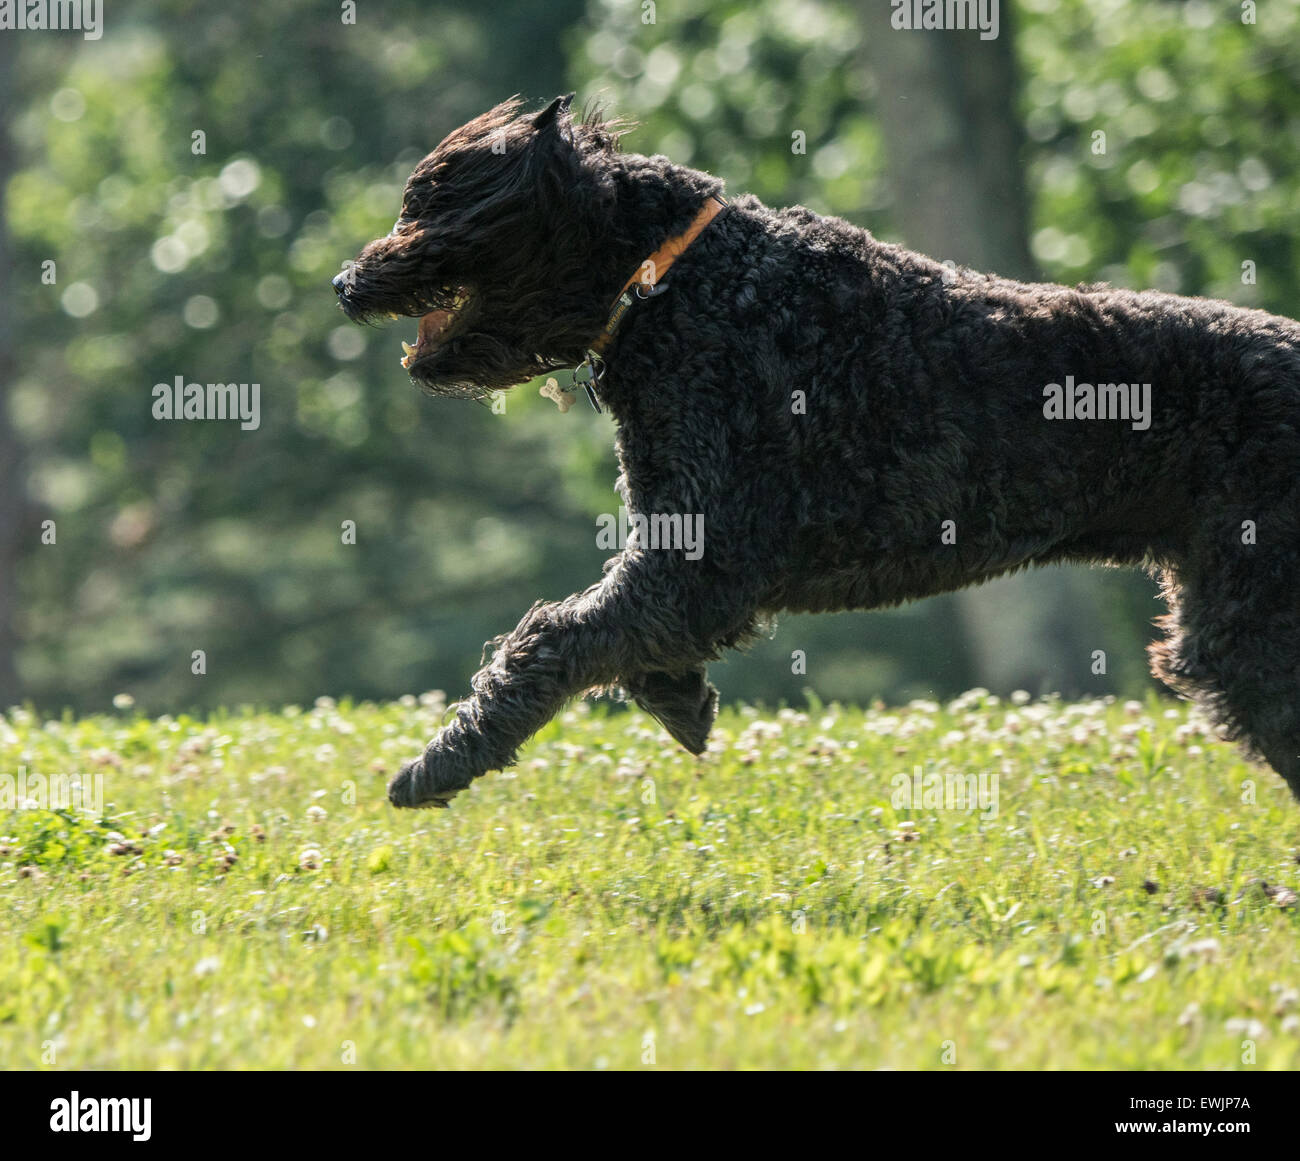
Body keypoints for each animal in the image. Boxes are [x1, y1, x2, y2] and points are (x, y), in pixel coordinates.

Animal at [335, 97, 1300, 806]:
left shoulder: (700, 555)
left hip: (1244, 626)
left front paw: (437, 764)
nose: (345, 282)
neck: (679, 280)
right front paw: (679, 696)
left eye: (427, 206)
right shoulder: (680, 559)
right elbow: (608, 639)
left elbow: (547, 638)